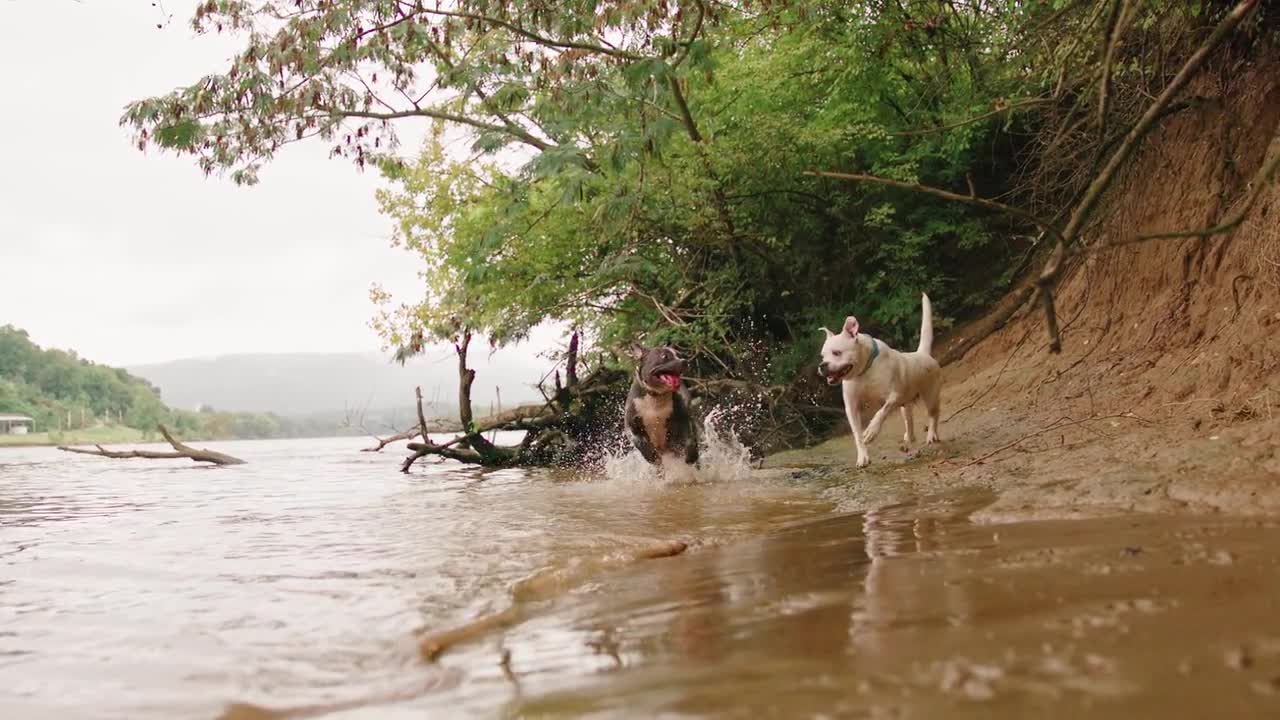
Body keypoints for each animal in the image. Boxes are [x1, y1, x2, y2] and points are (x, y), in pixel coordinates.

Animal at [819, 292, 942, 466]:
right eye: (822, 356)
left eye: (837, 353)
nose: (822, 365)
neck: (864, 371)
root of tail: (922, 354)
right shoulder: (852, 407)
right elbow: (857, 435)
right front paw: (862, 456)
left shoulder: (894, 396)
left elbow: (881, 412)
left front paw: (871, 431)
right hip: (906, 405)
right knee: (909, 421)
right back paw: (908, 439)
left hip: (930, 396)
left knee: (933, 414)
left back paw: (931, 434)